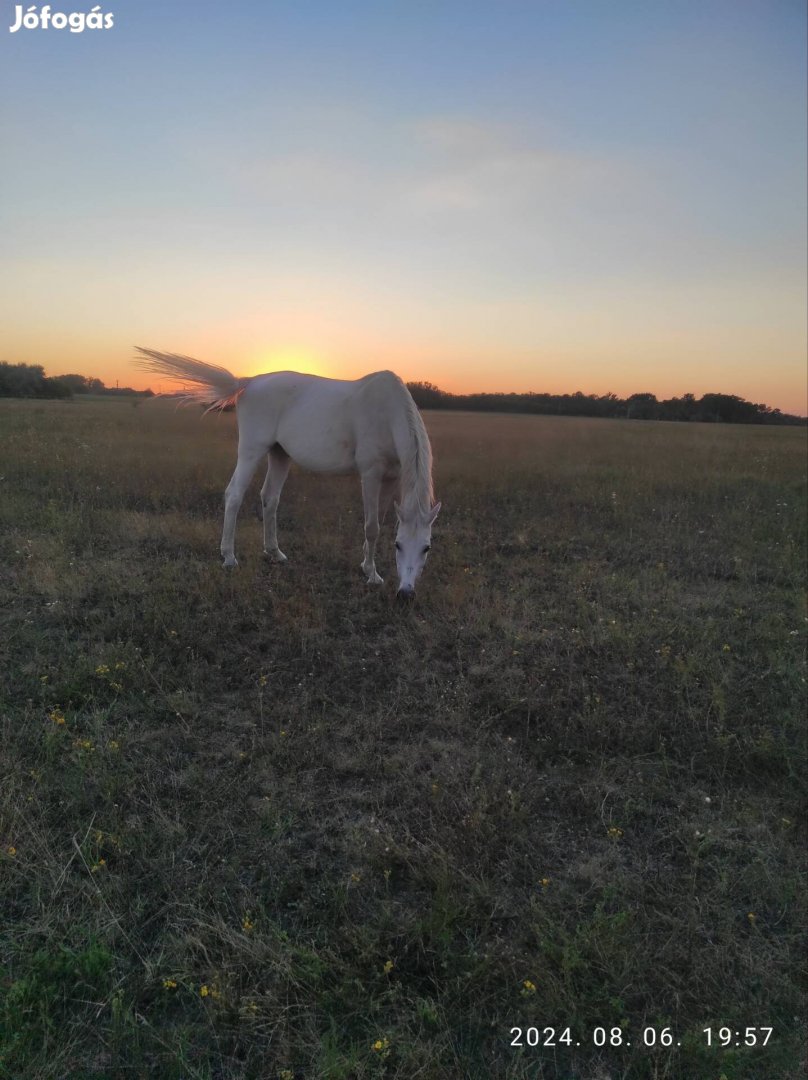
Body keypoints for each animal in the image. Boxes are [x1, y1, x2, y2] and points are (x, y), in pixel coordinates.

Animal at [132, 347, 442, 596]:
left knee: (269, 498)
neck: (386, 413)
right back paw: (229, 557)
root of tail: (249, 382)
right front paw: (372, 574)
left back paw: (274, 552)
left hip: (279, 454)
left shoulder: (391, 477)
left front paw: (370, 568)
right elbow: (372, 526)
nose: (406, 593)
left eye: (426, 548)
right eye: (399, 545)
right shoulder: (370, 475)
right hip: (252, 450)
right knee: (234, 495)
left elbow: (381, 521)